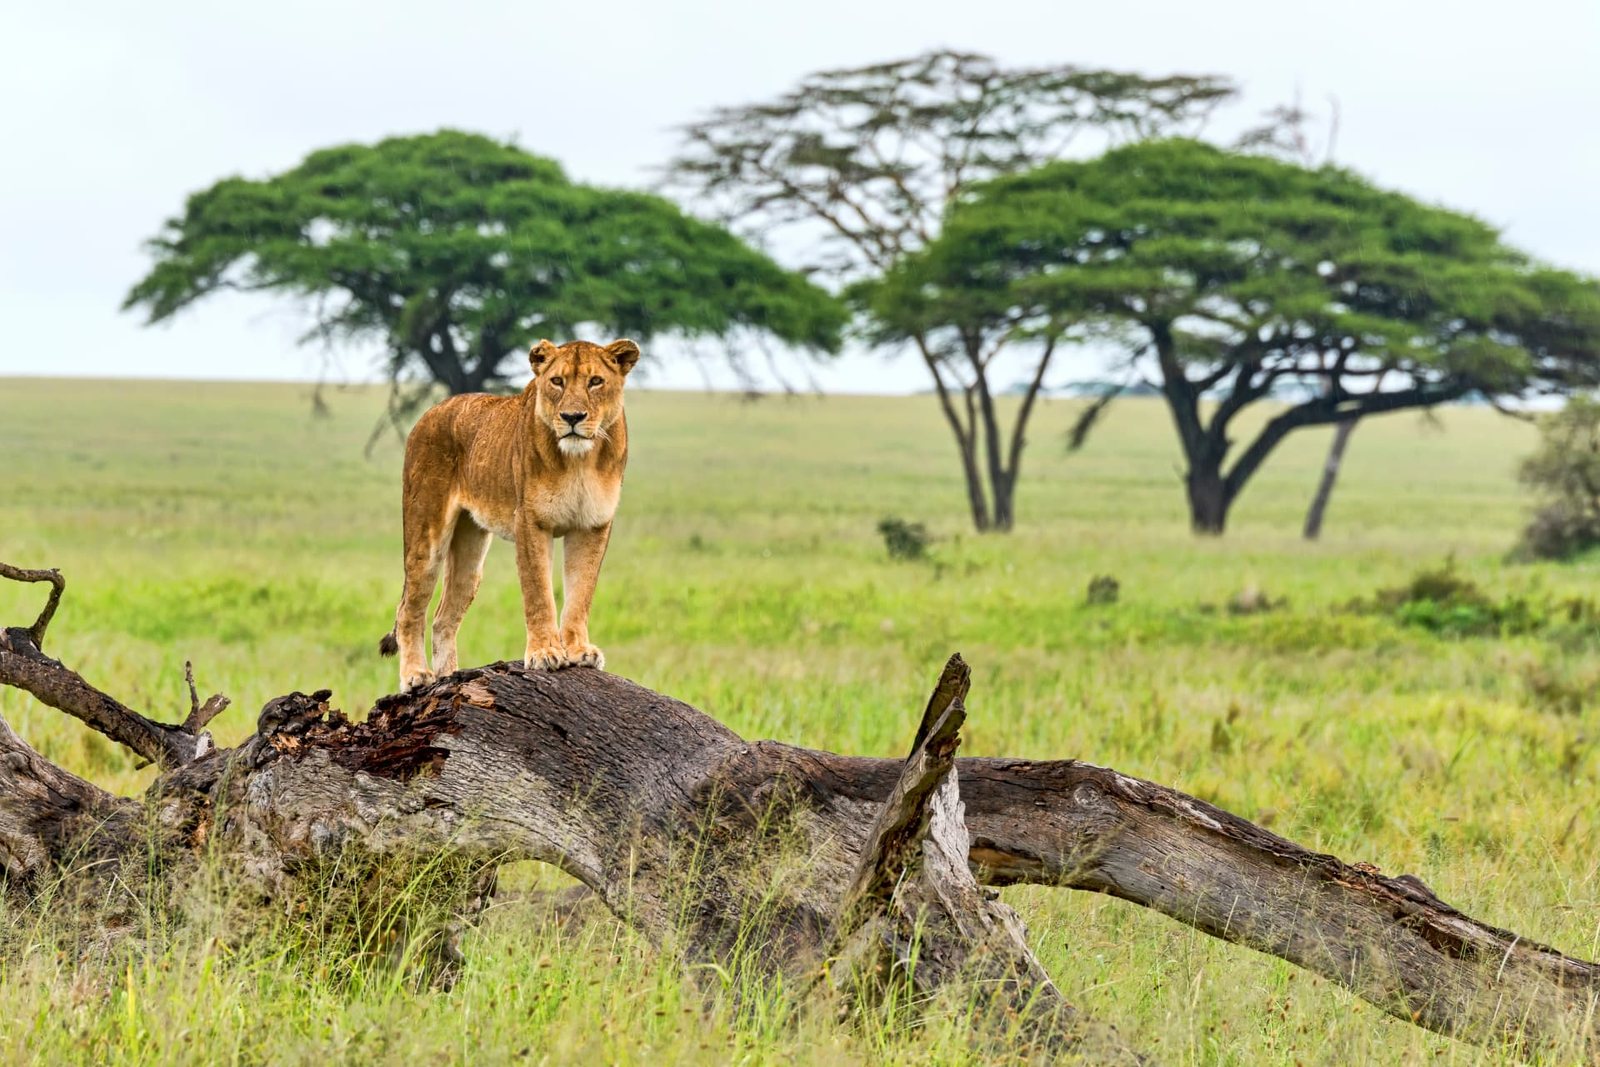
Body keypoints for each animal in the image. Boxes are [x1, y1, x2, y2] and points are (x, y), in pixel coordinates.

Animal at [378, 337, 639, 690]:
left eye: (596, 381)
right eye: (557, 381)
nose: (572, 416)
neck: (580, 460)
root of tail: (430, 412)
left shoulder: (592, 526)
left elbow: (581, 593)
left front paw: (580, 651)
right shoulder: (530, 522)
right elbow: (538, 592)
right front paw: (545, 653)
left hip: (470, 557)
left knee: (443, 619)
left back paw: (450, 679)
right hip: (426, 536)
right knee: (409, 608)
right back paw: (416, 676)